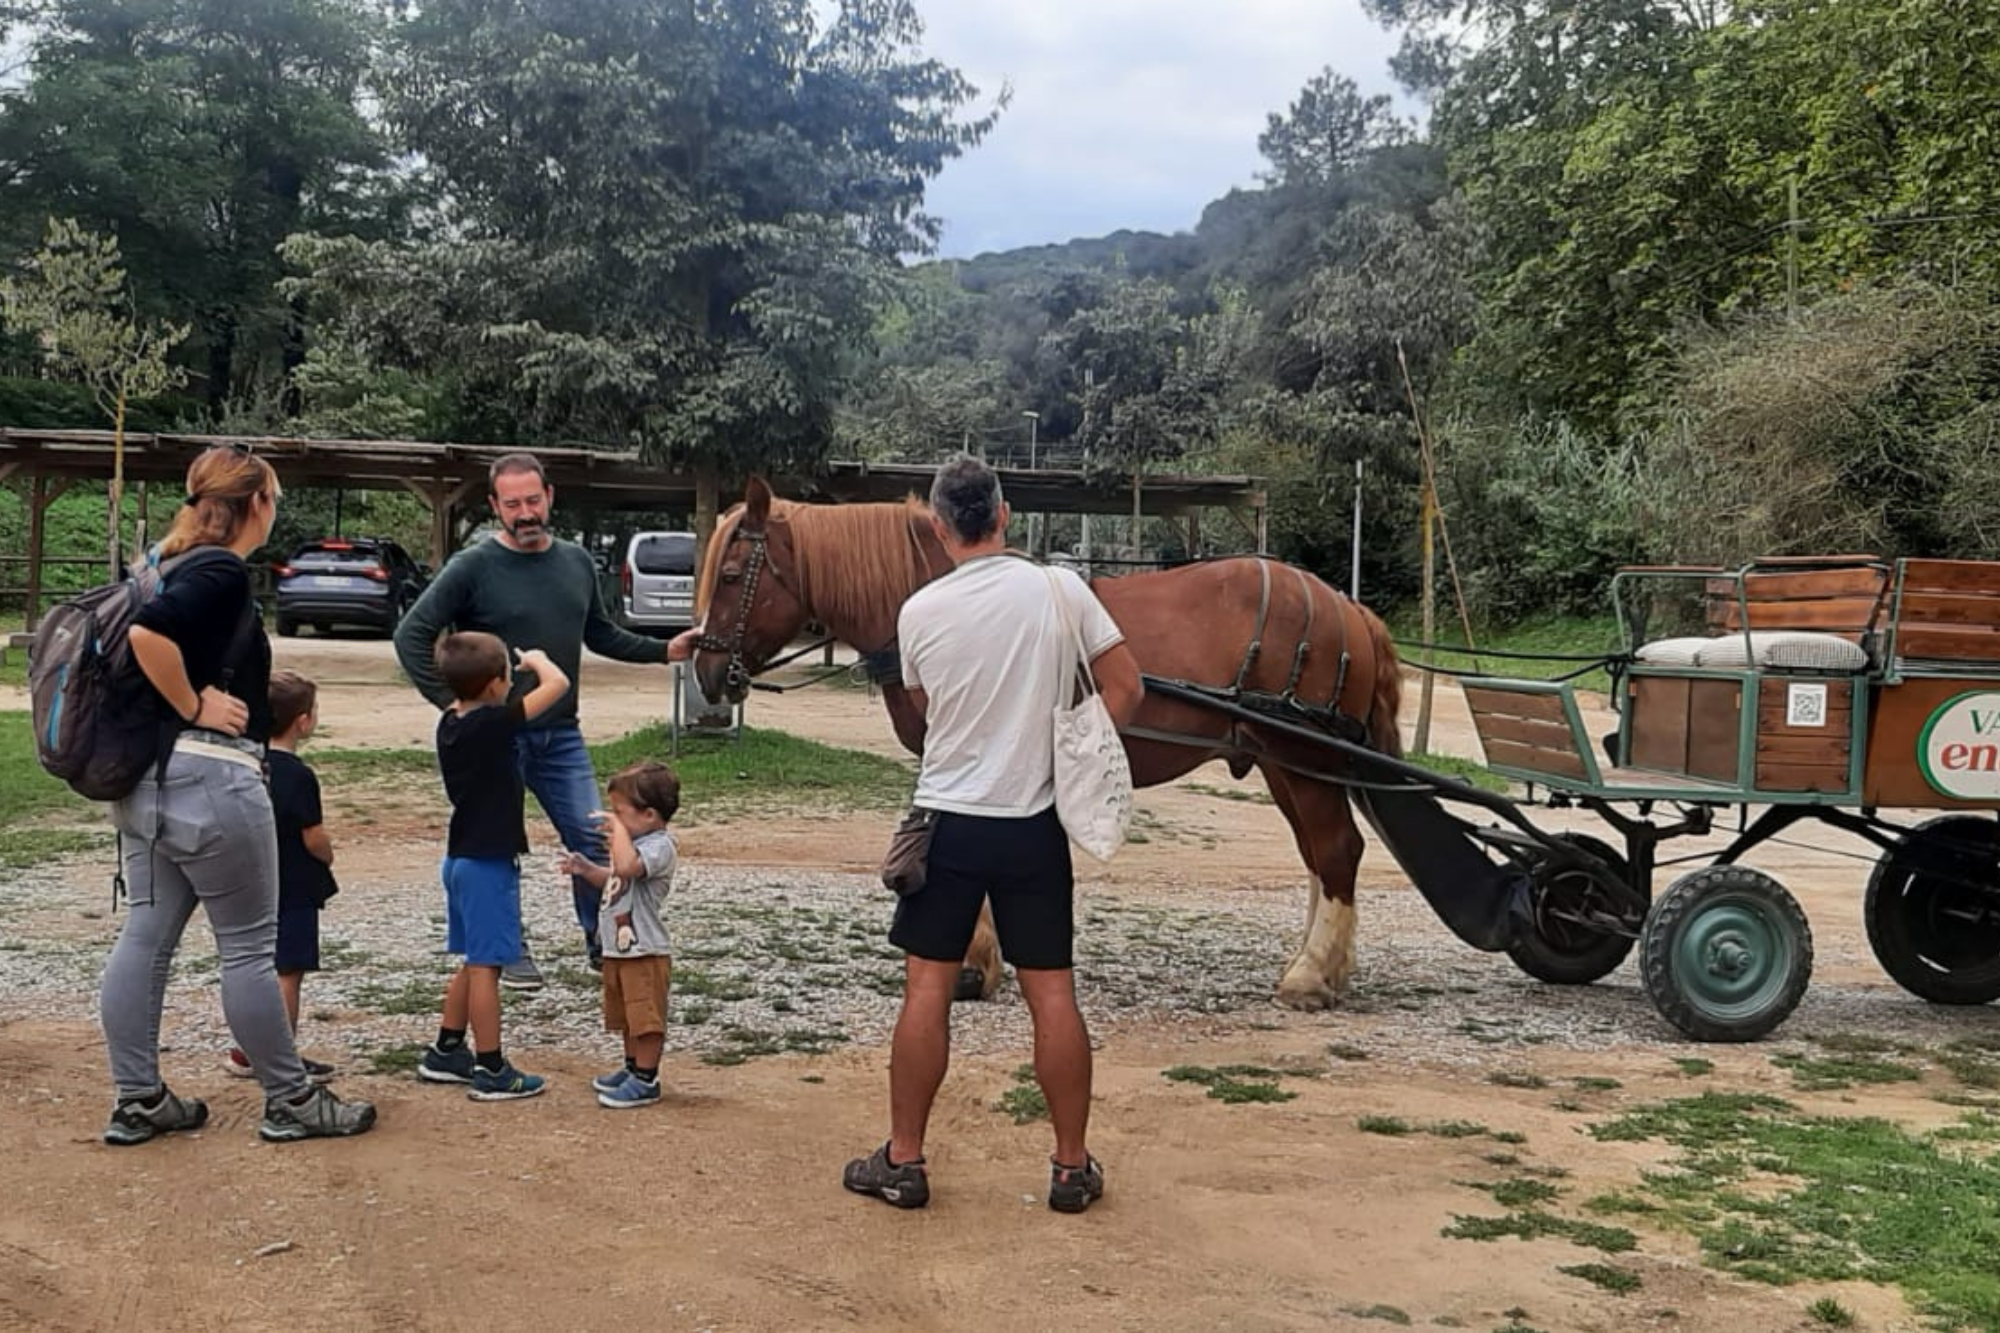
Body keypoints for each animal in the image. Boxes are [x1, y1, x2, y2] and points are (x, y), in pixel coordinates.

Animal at [692, 478, 1408, 1008]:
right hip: (1282, 761)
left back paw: (1310, 974)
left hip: (1305, 761)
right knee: (1319, 856)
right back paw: (1323, 964)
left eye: (731, 574)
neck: (948, 595)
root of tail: (1345, 605)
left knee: (1336, 851)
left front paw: (970, 966)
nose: (705, 671)